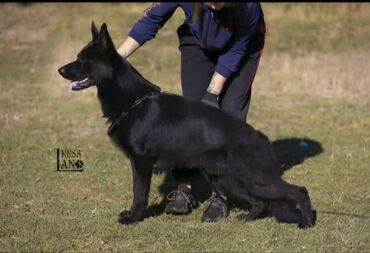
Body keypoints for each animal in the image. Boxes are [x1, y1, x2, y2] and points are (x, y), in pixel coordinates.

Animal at [58, 23, 316, 229]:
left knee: (299, 191)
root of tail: (261, 138)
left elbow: (139, 193)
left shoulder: (142, 162)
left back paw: (307, 223)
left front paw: (133, 218)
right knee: (261, 202)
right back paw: (248, 218)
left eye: (83, 59)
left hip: (255, 180)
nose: (60, 70)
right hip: (230, 180)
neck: (133, 101)